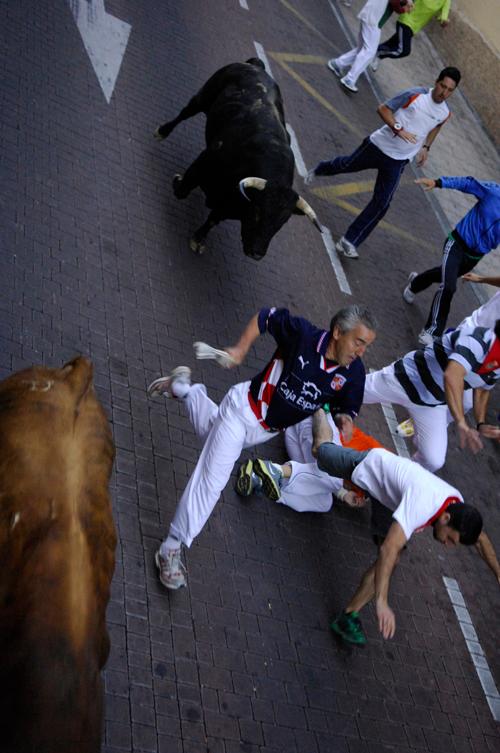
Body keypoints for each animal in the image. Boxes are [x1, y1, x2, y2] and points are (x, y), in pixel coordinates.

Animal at [154, 57, 322, 260]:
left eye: (282, 222)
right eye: (258, 211)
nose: (257, 253)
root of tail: (256, 66)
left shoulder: (228, 207)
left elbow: (213, 219)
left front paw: (198, 239)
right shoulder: (205, 160)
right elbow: (183, 190)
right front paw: (177, 181)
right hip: (204, 96)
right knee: (186, 112)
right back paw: (162, 132)